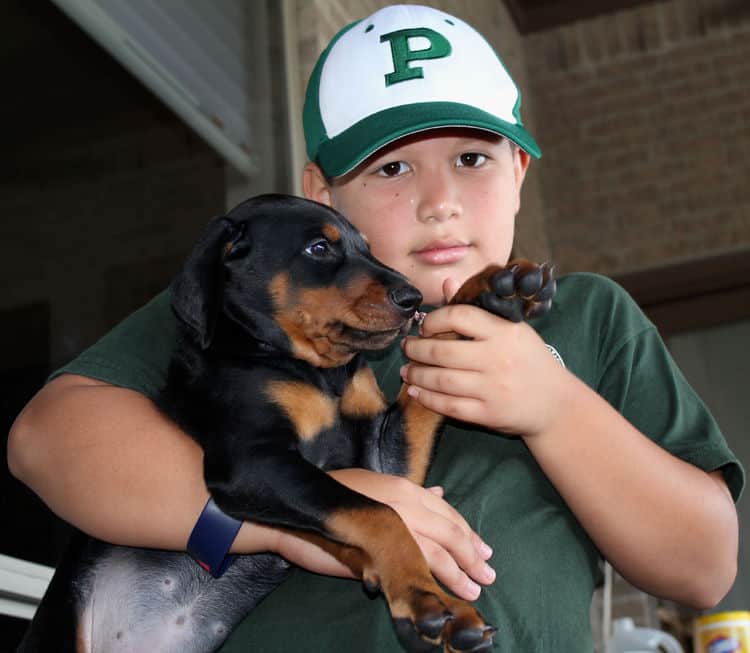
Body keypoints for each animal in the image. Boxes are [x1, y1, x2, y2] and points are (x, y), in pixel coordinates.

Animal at [19, 194, 560, 652]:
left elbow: (412, 418)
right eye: (319, 248)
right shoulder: (253, 463)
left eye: (368, 248)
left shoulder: (385, 459)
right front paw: (429, 603)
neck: (312, 370)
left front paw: (492, 291)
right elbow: (381, 512)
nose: (411, 298)